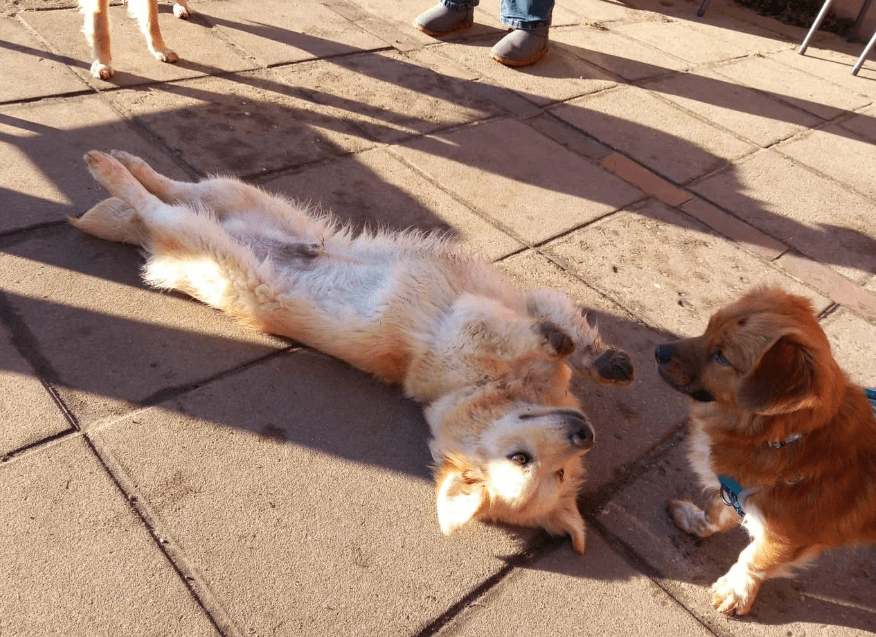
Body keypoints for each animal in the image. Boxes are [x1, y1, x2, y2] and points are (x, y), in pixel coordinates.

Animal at [652, 288, 876, 616]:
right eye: (707, 328)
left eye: (722, 357)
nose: (659, 351)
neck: (786, 439)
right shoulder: (733, 488)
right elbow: (716, 513)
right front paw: (695, 521)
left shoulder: (786, 535)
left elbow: (754, 559)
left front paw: (736, 592)